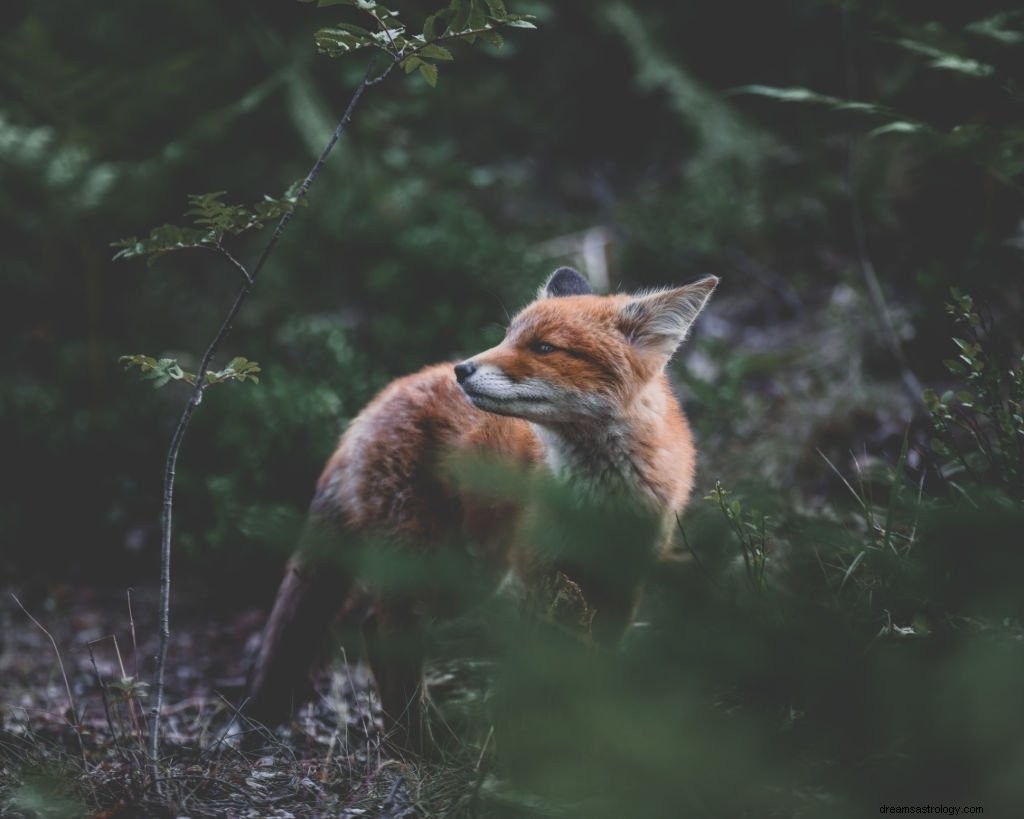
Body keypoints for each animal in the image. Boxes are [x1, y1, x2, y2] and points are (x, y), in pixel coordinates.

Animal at [242, 268, 716, 749]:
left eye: (544, 347)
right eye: (508, 336)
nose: (462, 369)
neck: (599, 503)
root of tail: (376, 403)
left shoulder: (624, 581)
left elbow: (594, 665)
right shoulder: (537, 577)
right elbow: (540, 673)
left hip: (472, 577)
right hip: (436, 566)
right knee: (381, 629)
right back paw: (415, 743)